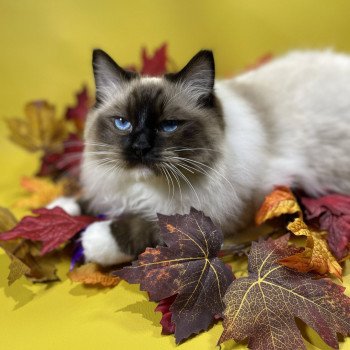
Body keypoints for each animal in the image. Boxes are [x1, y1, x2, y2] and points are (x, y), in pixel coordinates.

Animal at [50, 47, 350, 266]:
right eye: (123, 123)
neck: (145, 189)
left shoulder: (210, 217)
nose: (140, 147)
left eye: (168, 126)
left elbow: (151, 226)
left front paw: (92, 239)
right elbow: (84, 201)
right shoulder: (111, 186)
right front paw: (55, 213)